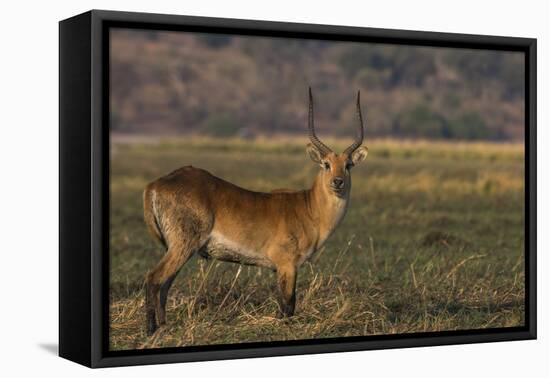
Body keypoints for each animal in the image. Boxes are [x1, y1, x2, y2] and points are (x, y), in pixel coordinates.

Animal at [143, 88, 370, 334]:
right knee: (153, 278)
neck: (309, 208)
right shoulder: (287, 265)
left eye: (348, 165)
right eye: (326, 164)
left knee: (164, 285)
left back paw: (164, 326)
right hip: (182, 246)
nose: (338, 182)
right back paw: (151, 330)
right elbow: (288, 305)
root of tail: (155, 184)